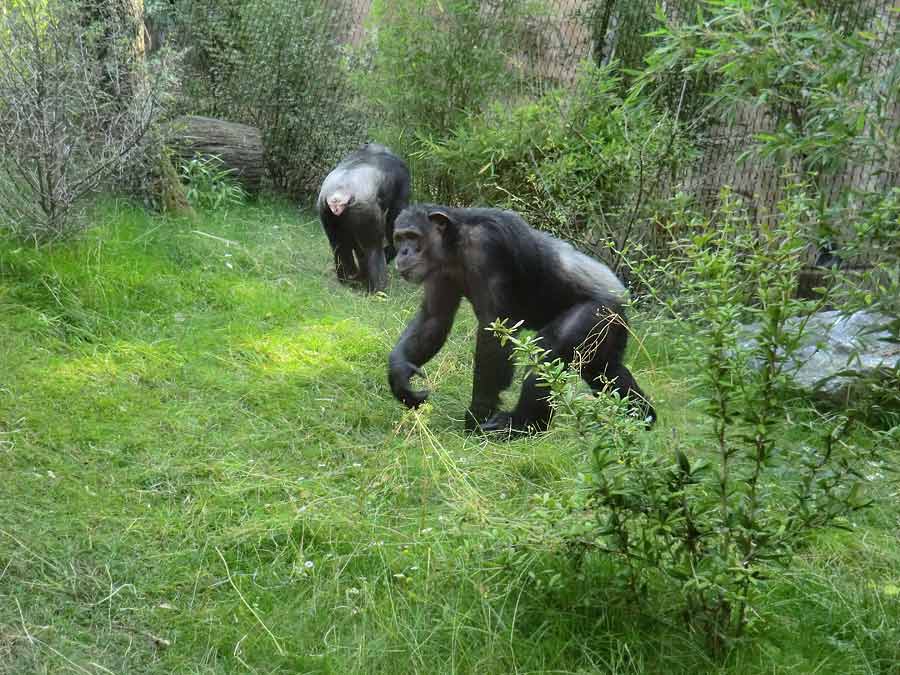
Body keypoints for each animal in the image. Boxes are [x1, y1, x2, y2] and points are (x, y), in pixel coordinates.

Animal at [318, 143, 414, 294]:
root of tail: (338, 197)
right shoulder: (403, 178)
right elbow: (395, 217)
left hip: (325, 209)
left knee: (338, 246)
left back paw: (349, 279)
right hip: (364, 209)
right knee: (373, 248)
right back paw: (378, 287)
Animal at [386, 203, 652, 434]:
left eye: (413, 236)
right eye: (399, 238)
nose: (403, 252)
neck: (454, 244)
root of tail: (621, 296)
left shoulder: (489, 246)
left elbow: (494, 330)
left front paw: (478, 414)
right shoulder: (439, 272)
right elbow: (434, 318)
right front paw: (399, 375)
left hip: (596, 313)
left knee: (547, 354)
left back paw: (523, 424)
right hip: (607, 330)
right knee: (605, 371)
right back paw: (640, 418)